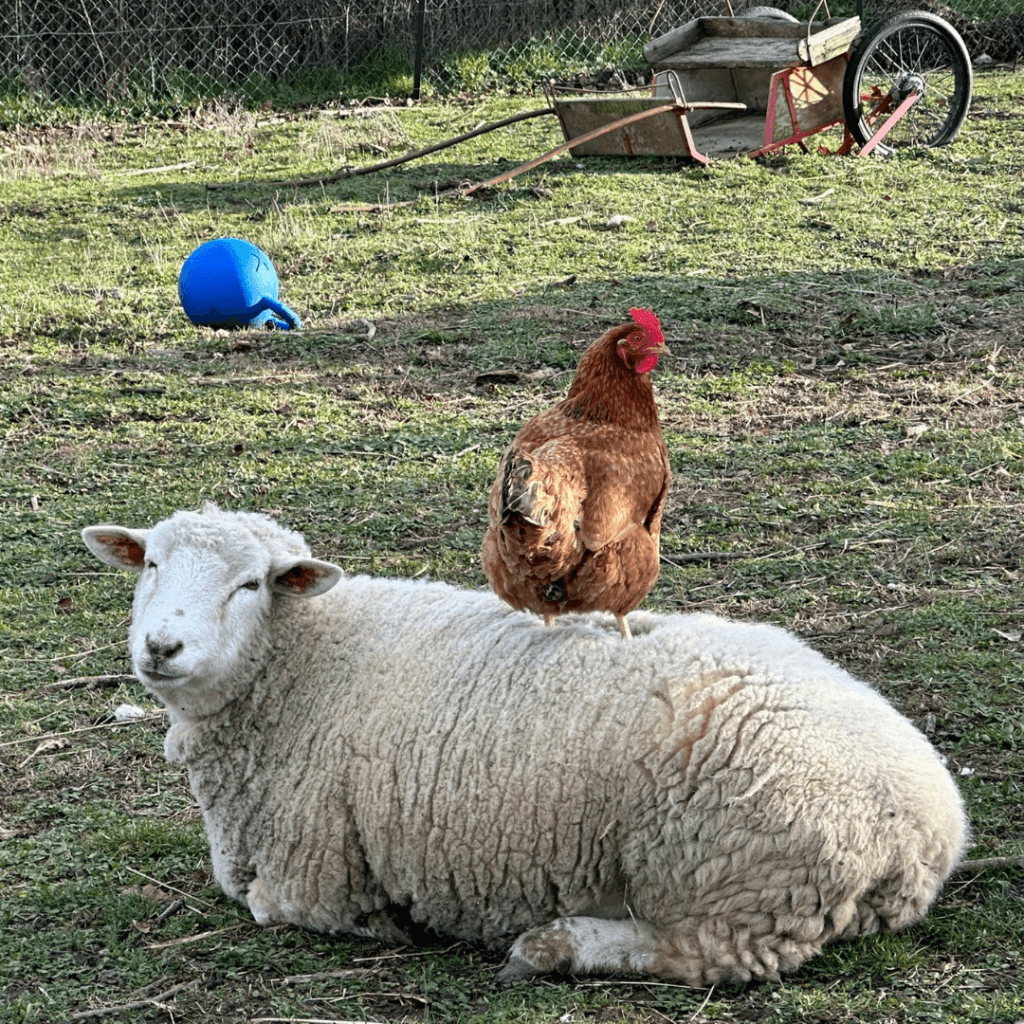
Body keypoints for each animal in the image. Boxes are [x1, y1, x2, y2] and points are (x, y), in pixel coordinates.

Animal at [82, 503, 968, 986]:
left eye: (250, 584)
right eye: (149, 563)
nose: (161, 647)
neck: (302, 662)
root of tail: (925, 830)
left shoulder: (314, 872)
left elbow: (269, 905)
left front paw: (384, 926)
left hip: (735, 878)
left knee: (705, 956)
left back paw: (552, 944)